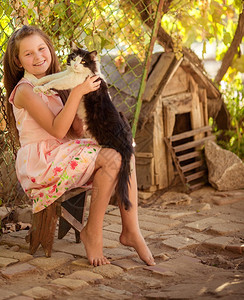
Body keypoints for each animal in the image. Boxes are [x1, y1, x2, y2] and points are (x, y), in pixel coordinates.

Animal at [31, 45, 133, 210]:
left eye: (84, 61)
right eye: (74, 58)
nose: (76, 65)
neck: (78, 72)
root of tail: (128, 145)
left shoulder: (73, 80)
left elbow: (56, 81)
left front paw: (41, 88)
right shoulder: (67, 73)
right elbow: (52, 76)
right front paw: (37, 82)